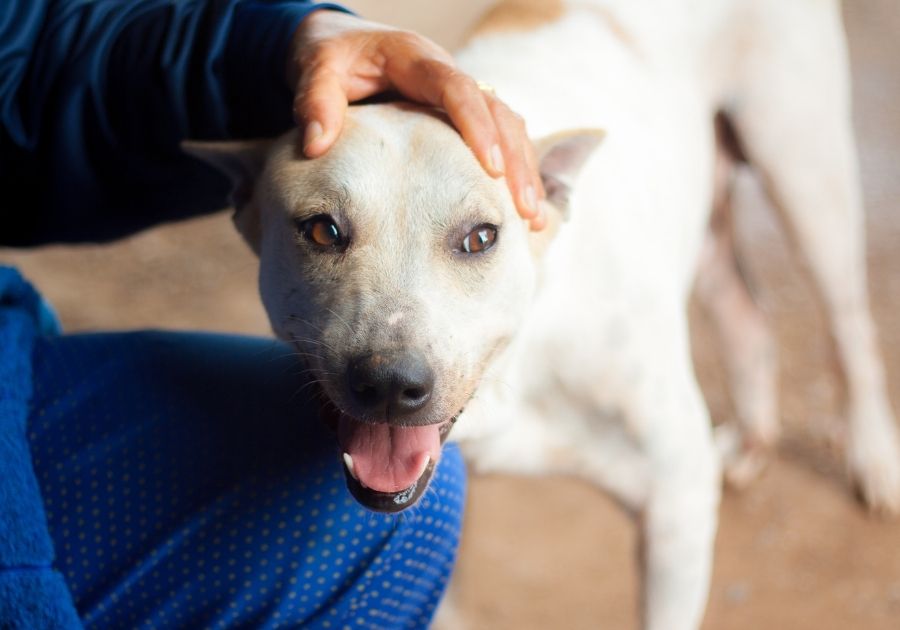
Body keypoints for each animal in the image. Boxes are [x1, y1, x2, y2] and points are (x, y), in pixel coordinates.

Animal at [185, 1, 900, 628]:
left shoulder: (676, 511)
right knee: (747, 315)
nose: (389, 384)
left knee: (850, 330)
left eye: (480, 237)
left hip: (806, 177)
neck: (516, 370)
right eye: (323, 231)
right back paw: (752, 442)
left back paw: (872, 459)